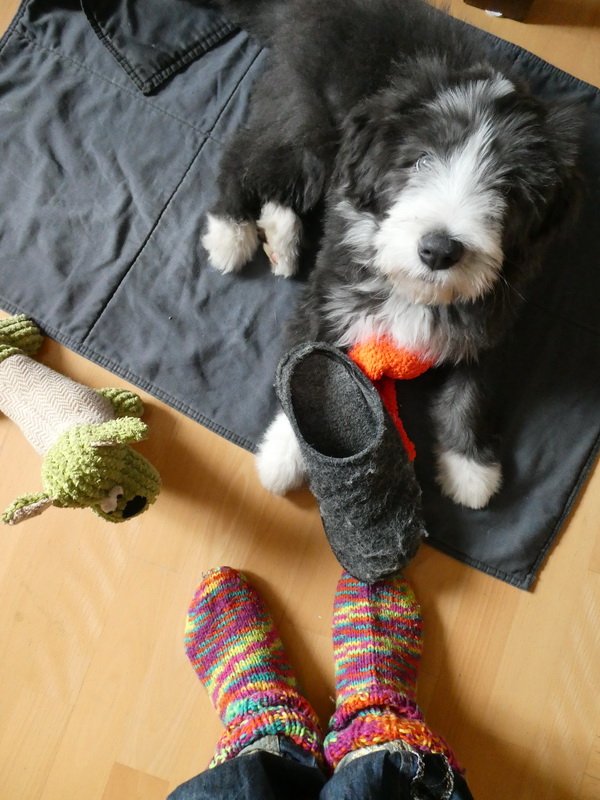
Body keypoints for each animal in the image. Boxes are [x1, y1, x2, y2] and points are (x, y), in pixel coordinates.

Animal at [202, 0, 582, 509]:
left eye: (506, 190)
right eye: (420, 161)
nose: (439, 250)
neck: (413, 288)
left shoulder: (493, 312)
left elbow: (474, 386)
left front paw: (470, 467)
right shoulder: (330, 292)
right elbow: (304, 364)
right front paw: (284, 456)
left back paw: (282, 238)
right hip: (308, 122)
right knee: (249, 156)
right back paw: (231, 231)